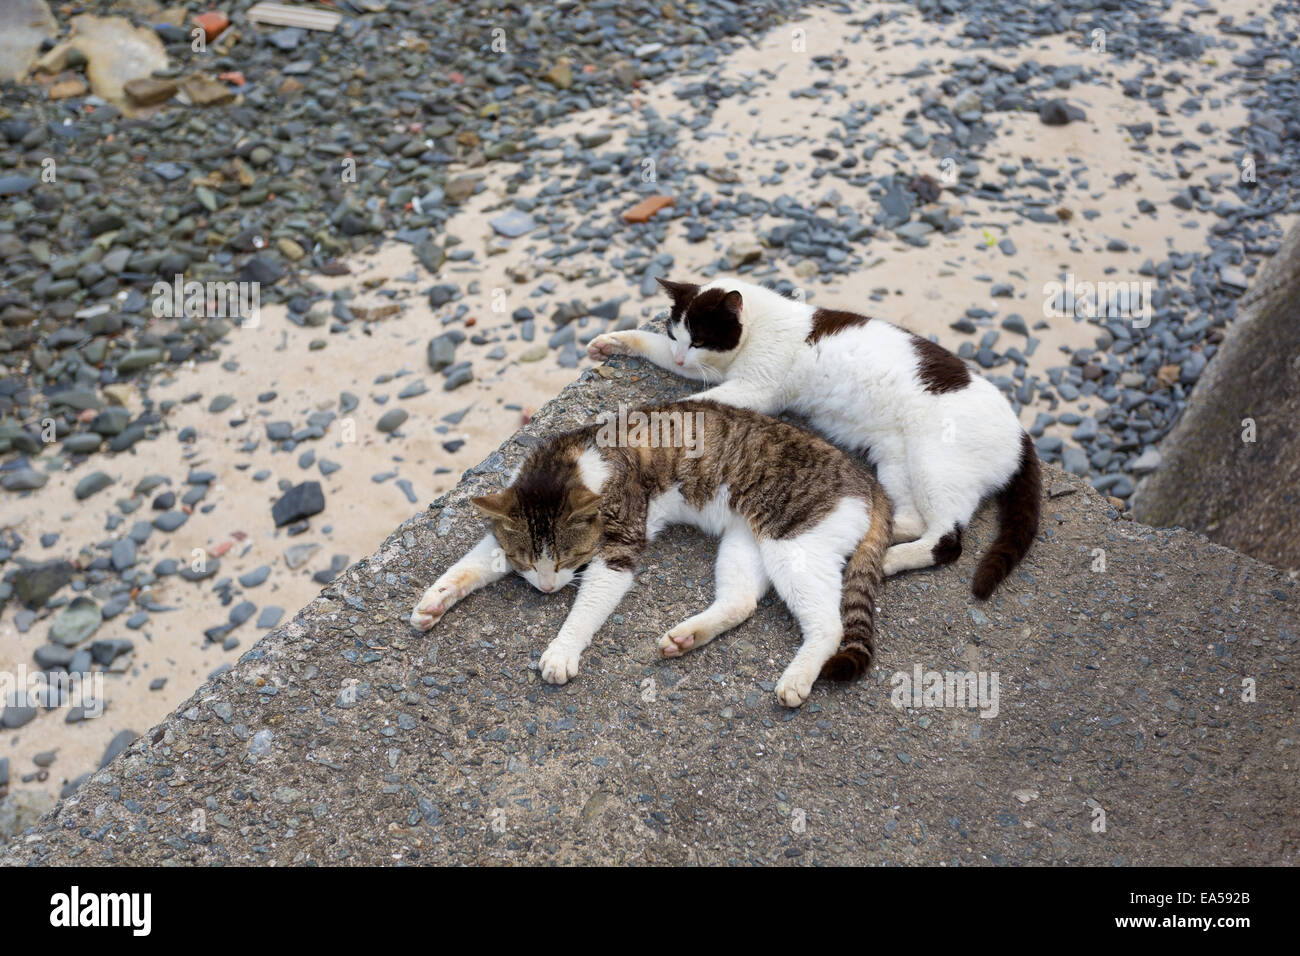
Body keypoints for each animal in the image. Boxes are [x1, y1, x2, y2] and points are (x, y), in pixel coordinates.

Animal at [408, 400, 894, 707]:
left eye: (564, 562)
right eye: (528, 562)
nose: (546, 588)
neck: (573, 462)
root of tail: (869, 482)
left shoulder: (620, 545)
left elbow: (587, 607)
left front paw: (562, 650)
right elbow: (472, 564)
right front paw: (435, 600)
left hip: (791, 542)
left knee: (829, 625)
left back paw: (796, 677)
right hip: (745, 539)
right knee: (742, 602)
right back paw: (688, 637)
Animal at [590, 277, 1045, 598]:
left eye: (700, 339)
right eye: (675, 336)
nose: (684, 355)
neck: (761, 327)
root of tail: (1022, 434)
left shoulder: (754, 390)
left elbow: (691, 402)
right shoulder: (713, 371)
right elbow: (654, 350)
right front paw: (612, 342)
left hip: (935, 464)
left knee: (948, 539)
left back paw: (890, 559)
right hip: (896, 461)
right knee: (912, 518)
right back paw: (881, 532)